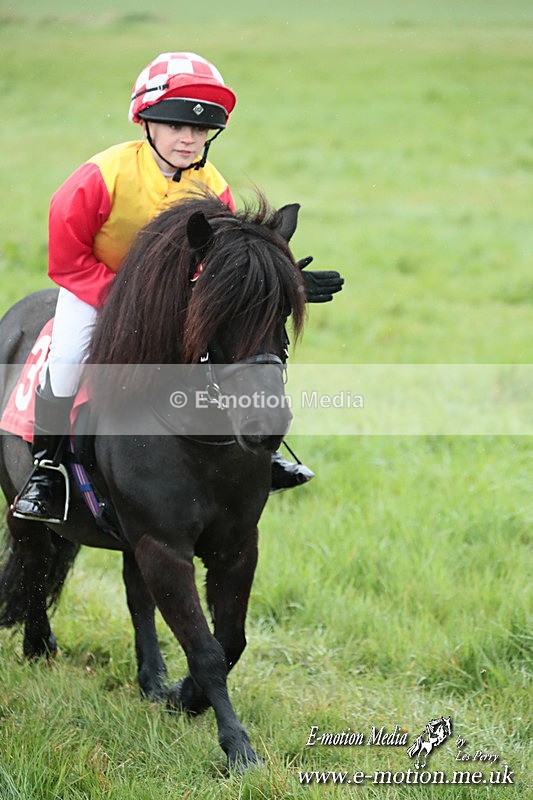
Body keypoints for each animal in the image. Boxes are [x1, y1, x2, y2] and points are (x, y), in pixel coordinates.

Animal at [0, 193, 307, 771]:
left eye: (282, 308)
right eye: (218, 308)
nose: (266, 425)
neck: (196, 440)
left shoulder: (236, 545)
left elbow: (230, 641)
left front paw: (182, 697)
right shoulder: (164, 547)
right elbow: (207, 650)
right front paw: (237, 747)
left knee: (133, 595)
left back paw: (151, 678)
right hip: (21, 506)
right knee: (33, 565)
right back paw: (38, 647)